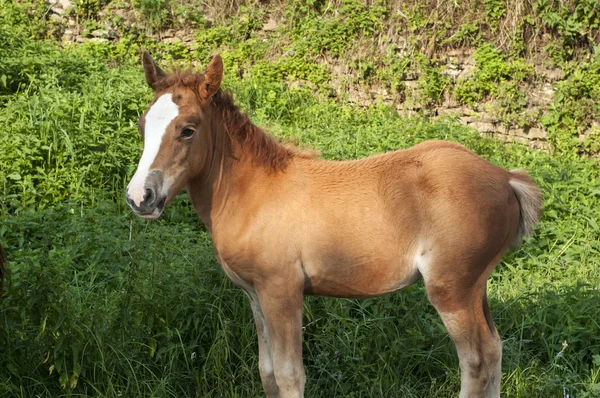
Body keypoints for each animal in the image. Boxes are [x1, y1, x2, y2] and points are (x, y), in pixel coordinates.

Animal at [126, 53, 544, 398]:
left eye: (188, 129)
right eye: (144, 124)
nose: (139, 197)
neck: (254, 192)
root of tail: (506, 178)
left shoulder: (282, 290)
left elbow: (289, 376)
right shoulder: (254, 295)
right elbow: (267, 373)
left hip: (452, 288)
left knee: (477, 361)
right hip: (477, 285)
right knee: (495, 349)